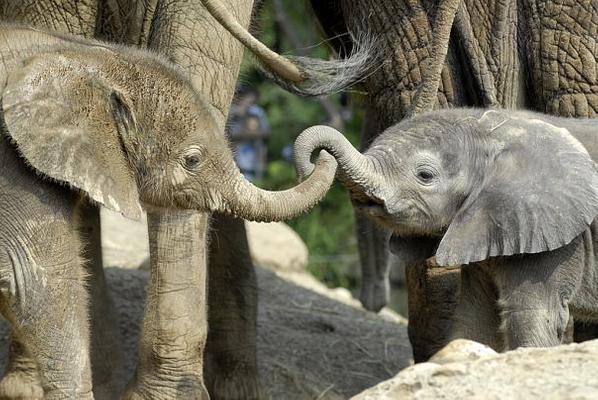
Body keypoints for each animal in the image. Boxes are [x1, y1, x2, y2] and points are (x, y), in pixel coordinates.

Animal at [296, 108, 598, 352]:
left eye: (425, 175)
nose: (318, 159)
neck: (494, 131)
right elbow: (475, 317)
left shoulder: (554, 236)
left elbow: (531, 317)